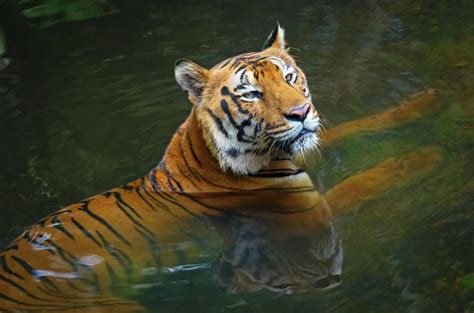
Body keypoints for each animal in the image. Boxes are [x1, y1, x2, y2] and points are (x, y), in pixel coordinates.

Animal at [0, 22, 444, 312]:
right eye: (250, 94)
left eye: (289, 77)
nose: (301, 113)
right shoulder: (309, 216)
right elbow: (365, 181)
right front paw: (424, 157)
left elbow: (358, 124)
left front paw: (424, 101)